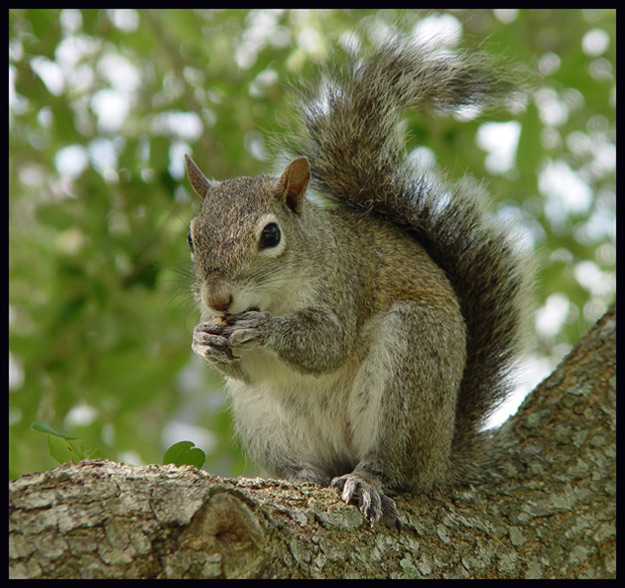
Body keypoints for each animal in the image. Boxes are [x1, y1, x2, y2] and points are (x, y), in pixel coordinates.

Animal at [185, 35, 532, 528]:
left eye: (270, 235)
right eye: (191, 237)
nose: (217, 299)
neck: (274, 295)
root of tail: (441, 454)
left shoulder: (347, 284)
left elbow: (328, 345)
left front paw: (265, 330)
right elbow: (244, 369)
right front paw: (203, 338)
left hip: (410, 368)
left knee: (389, 464)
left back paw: (364, 481)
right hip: (263, 421)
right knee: (307, 462)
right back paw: (302, 475)